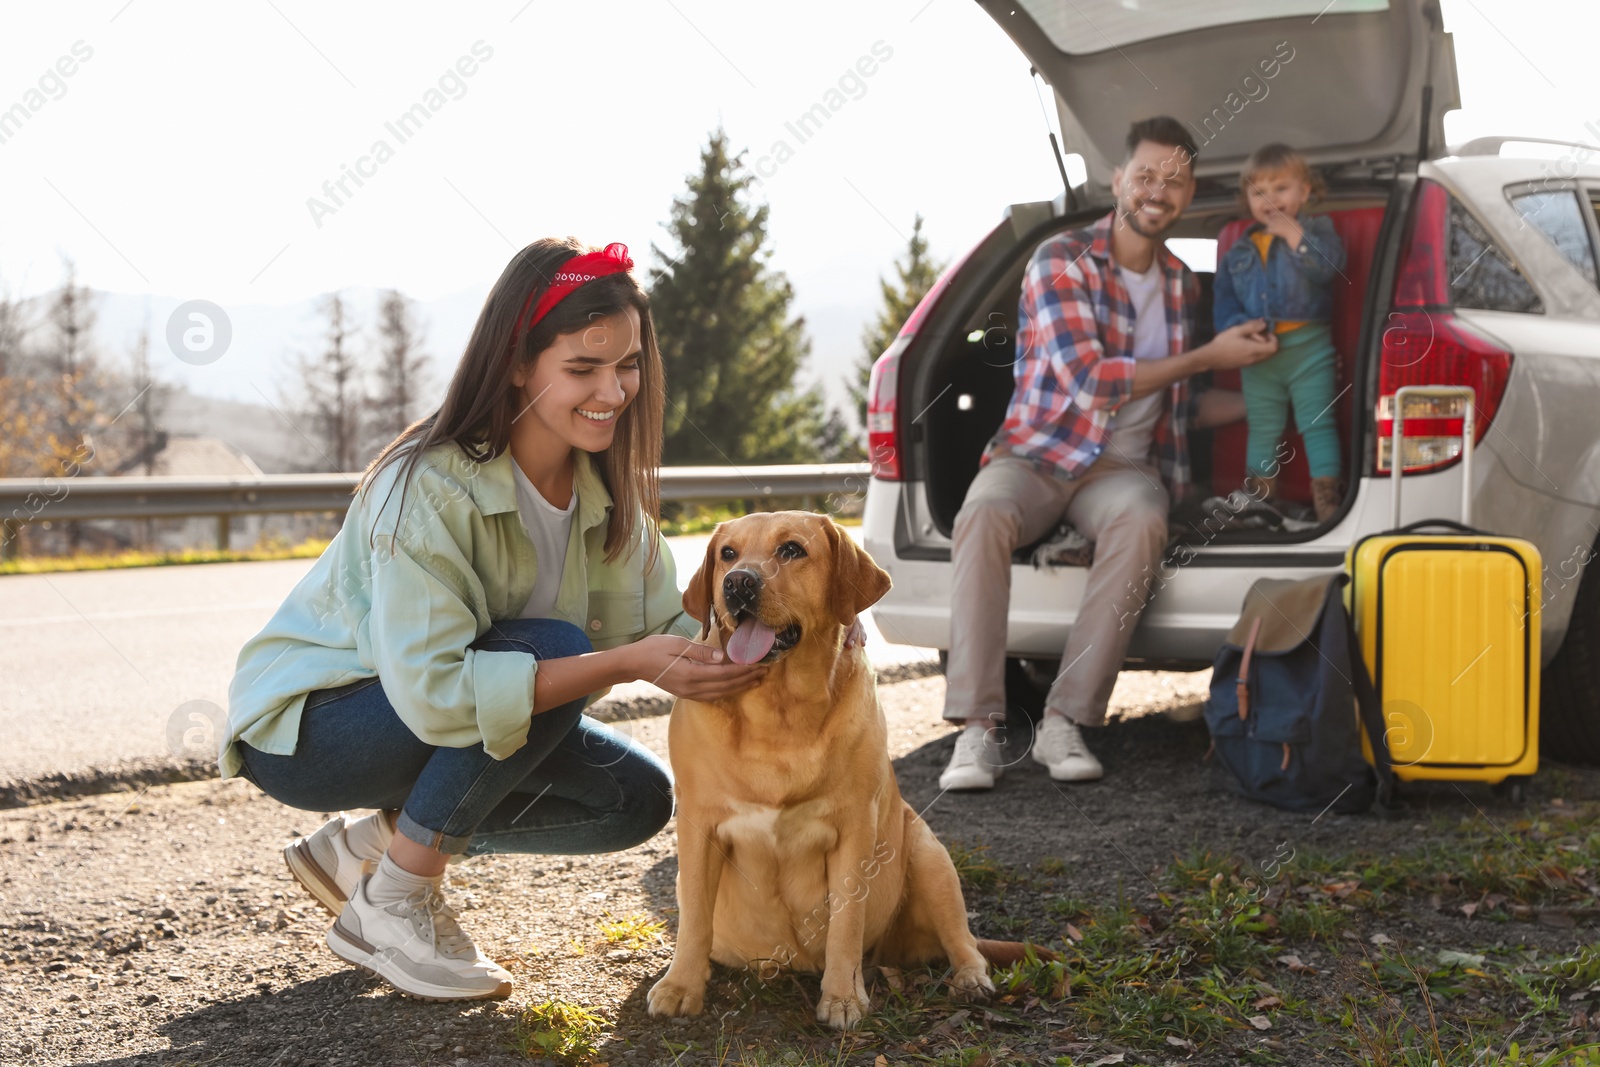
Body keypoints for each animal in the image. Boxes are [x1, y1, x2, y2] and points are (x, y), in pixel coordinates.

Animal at [643, 511, 1030, 1030]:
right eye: (726, 553)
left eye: (791, 550)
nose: (737, 582)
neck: (779, 710)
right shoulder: (698, 823)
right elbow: (694, 916)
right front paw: (682, 985)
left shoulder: (854, 826)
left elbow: (847, 921)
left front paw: (843, 997)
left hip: (930, 855)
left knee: (965, 941)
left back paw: (970, 979)